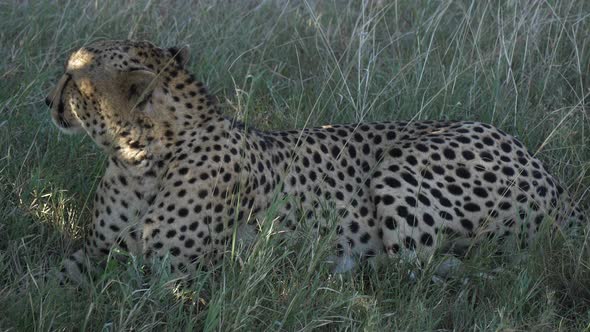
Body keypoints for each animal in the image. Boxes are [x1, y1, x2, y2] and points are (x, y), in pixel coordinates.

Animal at [47, 39, 588, 282]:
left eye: (73, 77)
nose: (45, 100)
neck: (140, 157)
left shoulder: (171, 274)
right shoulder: (96, 251)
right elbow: (55, 275)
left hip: (403, 166)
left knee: (421, 270)